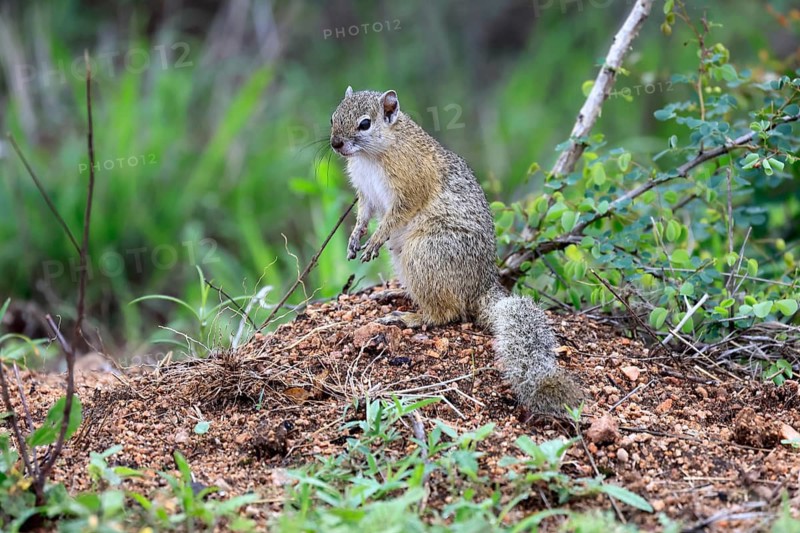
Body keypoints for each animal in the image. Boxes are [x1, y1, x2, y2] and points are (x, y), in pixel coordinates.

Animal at [330, 87, 583, 415]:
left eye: (365, 124)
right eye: (333, 116)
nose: (336, 144)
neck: (372, 155)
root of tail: (481, 286)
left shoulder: (412, 184)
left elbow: (396, 214)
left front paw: (375, 239)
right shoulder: (366, 193)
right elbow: (364, 213)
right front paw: (356, 237)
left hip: (426, 253)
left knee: (447, 313)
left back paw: (410, 318)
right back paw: (392, 293)